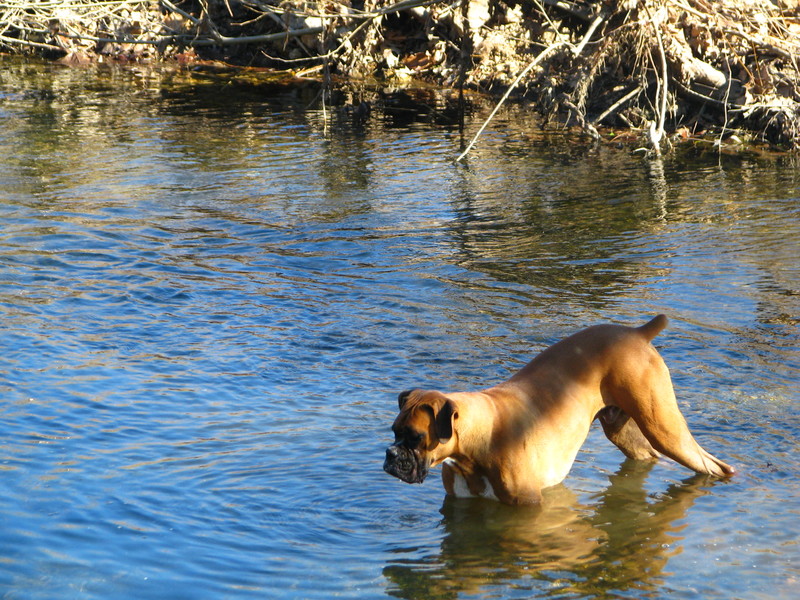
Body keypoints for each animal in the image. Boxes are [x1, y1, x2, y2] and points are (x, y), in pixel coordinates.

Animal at [384, 316, 736, 504]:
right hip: (625, 433)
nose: (390, 454)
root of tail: (637, 332)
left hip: (664, 429)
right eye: (394, 432)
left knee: (715, 466)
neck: (478, 438)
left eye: (415, 438)